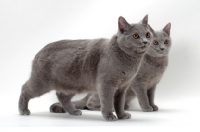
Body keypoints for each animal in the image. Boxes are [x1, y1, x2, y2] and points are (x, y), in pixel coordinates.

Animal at [19, 14, 153, 121]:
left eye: (147, 34)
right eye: (135, 36)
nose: (145, 41)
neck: (130, 61)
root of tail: (40, 51)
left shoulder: (122, 87)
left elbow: (119, 103)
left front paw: (122, 115)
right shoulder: (107, 84)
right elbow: (108, 102)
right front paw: (109, 116)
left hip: (71, 84)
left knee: (62, 96)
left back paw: (73, 111)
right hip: (41, 82)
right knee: (25, 88)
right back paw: (23, 110)